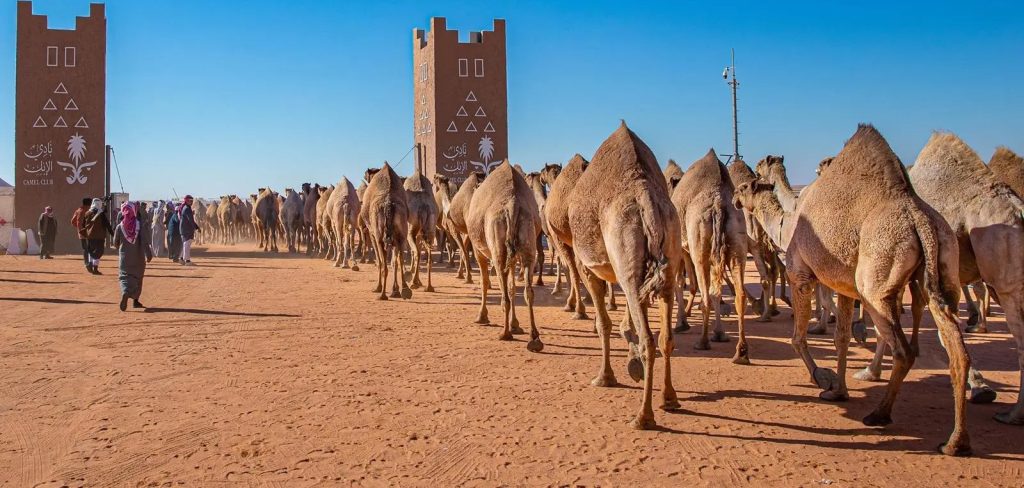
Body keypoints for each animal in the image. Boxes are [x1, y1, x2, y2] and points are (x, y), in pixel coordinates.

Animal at [359, 163, 413, 300]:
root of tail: (389, 204)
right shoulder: (394, 239)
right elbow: (394, 262)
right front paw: (395, 290)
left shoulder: (373, 234)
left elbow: (379, 261)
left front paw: (378, 288)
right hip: (401, 234)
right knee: (399, 259)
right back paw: (405, 290)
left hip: (379, 235)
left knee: (383, 263)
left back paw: (382, 294)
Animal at [466, 161, 543, 352]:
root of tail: (512, 204)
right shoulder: (514, 257)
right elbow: (511, 287)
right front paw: (516, 324)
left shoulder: (478, 251)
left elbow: (485, 282)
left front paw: (481, 317)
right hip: (528, 234)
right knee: (528, 290)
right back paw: (535, 339)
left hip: (497, 245)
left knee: (503, 287)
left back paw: (505, 333)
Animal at [568, 122, 681, 430]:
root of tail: (645, 197)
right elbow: (625, 322)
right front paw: (633, 366)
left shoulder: (588, 267)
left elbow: (603, 324)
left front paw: (604, 377)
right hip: (670, 254)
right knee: (665, 337)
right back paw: (669, 398)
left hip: (624, 249)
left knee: (648, 339)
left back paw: (643, 416)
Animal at [672, 150, 749, 363]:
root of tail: (719, 204)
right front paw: (719, 333)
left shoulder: (681, 249)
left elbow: (680, 283)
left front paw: (681, 323)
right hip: (737, 237)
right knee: (738, 295)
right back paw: (741, 352)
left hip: (700, 246)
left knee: (706, 293)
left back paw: (702, 341)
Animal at [764, 125, 971, 455]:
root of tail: (919, 219)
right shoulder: (844, 285)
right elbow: (841, 338)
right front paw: (838, 390)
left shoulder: (800, 274)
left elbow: (798, 337)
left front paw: (822, 379)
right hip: (944, 265)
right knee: (956, 348)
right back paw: (955, 441)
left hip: (876, 280)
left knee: (904, 350)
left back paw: (880, 413)